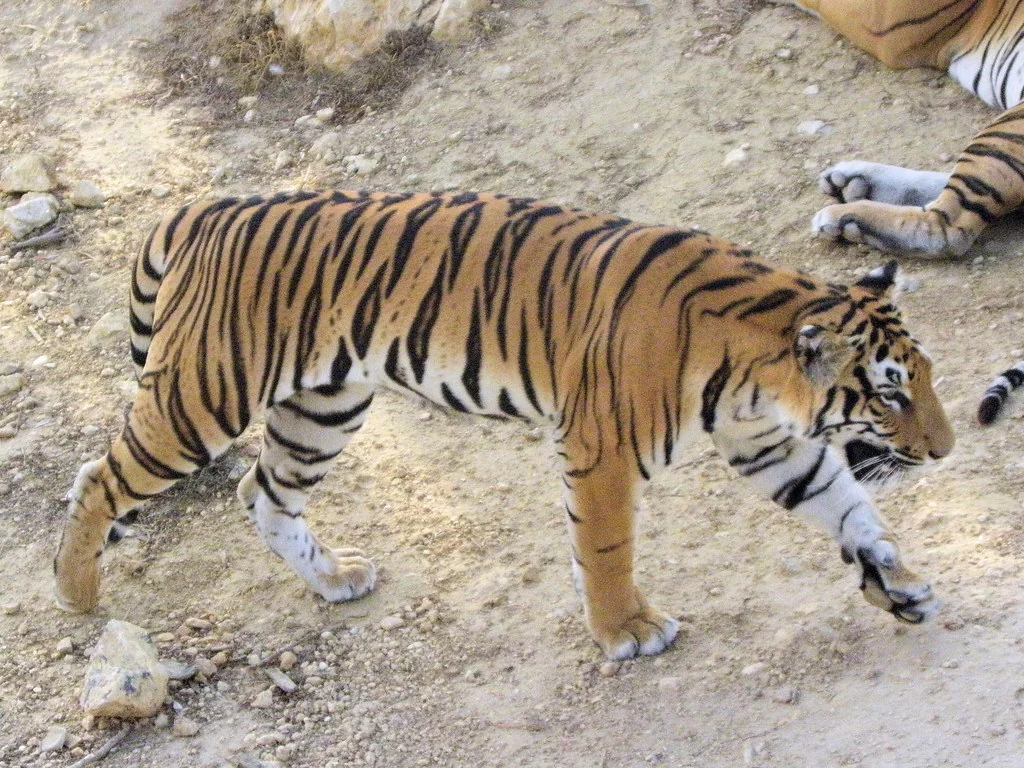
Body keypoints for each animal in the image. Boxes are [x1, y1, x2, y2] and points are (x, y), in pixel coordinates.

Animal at [53, 190, 954, 660]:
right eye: (890, 394)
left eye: (924, 380)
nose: (946, 451)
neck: (758, 374)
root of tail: (206, 208)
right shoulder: (602, 449)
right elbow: (606, 550)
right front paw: (628, 631)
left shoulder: (771, 447)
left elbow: (850, 508)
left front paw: (899, 580)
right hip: (203, 398)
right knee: (99, 478)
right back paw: (76, 594)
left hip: (323, 407)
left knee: (263, 494)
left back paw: (335, 579)